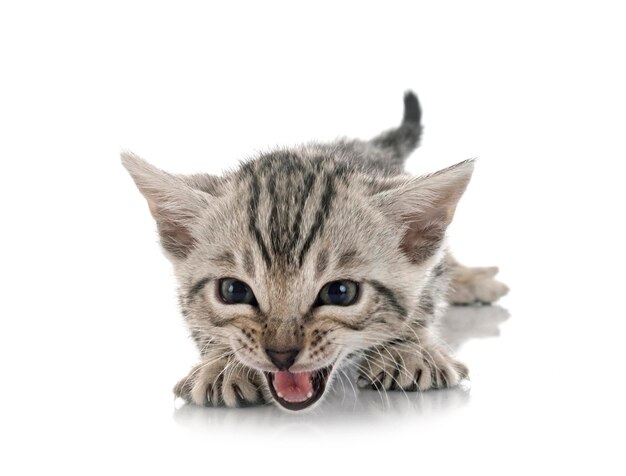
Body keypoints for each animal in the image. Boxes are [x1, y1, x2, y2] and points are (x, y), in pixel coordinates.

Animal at [122, 93, 508, 412]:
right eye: (233, 291)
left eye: (340, 292)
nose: (281, 355)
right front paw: (220, 364)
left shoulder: (430, 274)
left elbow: (424, 300)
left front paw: (410, 349)